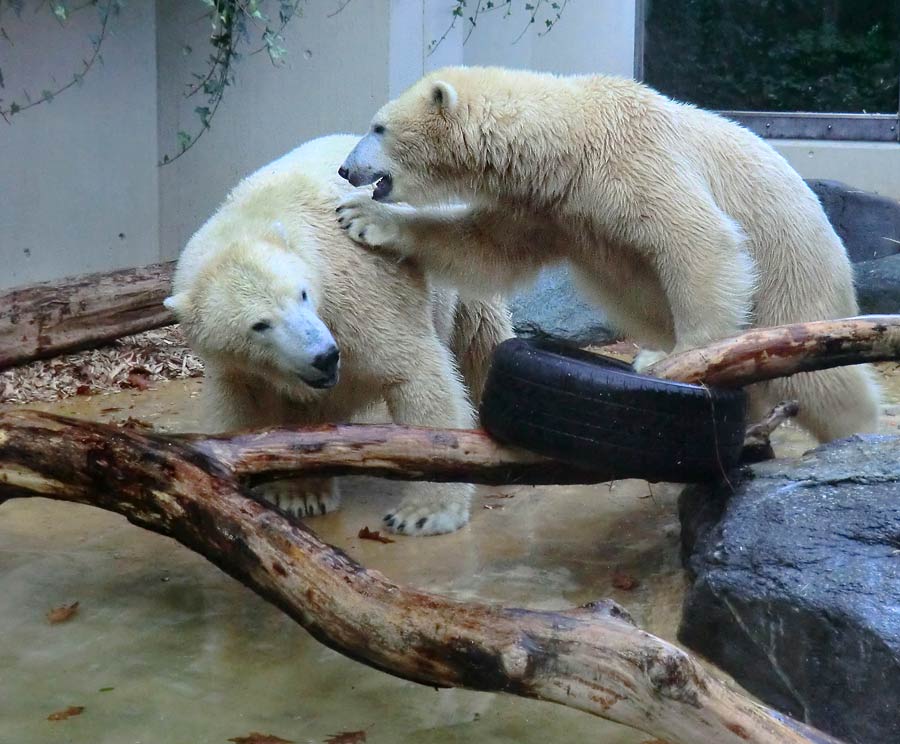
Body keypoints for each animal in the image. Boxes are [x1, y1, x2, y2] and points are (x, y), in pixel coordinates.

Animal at [164, 135, 510, 536]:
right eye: (259, 325)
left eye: (301, 294)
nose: (324, 355)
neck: (259, 215)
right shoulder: (236, 367)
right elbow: (236, 408)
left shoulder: (359, 288)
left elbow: (415, 370)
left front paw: (425, 512)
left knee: (480, 334)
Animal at [336, 65, 880, 442]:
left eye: (378, 128)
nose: (344, 169)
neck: (569, 137)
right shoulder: (549, 204)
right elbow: (487, 247)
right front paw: (365, 218)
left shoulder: (633, 156)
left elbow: (697, 236)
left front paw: (678, 354)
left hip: (794, 271)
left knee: (825, 386)